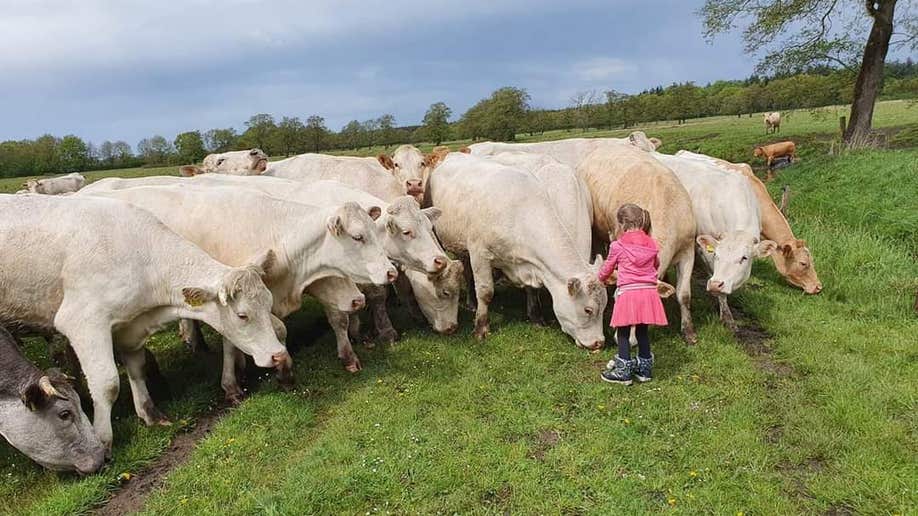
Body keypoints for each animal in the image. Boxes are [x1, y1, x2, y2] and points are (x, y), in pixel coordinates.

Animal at [0, 195, 288, 452]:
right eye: (242, 315)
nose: (278, 354)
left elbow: (136, 369)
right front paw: (102, 441)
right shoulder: (83, 321)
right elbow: (107, 383)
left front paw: (149, 413)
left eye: (268, 303)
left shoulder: (130, 327)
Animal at [428, 151, 608, 348]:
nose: (599, 343)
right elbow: (485, 292)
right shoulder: (479, 252)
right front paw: (481, 328)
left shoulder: (531, 263)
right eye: (588, 310)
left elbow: (532, 289)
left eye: (606, 307)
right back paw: (471, 302)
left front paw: (536, 317)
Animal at [470, 139, 700, 344]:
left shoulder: (688, 251)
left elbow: (684, 295)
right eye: (616, 301)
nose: (621, 340)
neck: (668, 207)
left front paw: (689, 333)